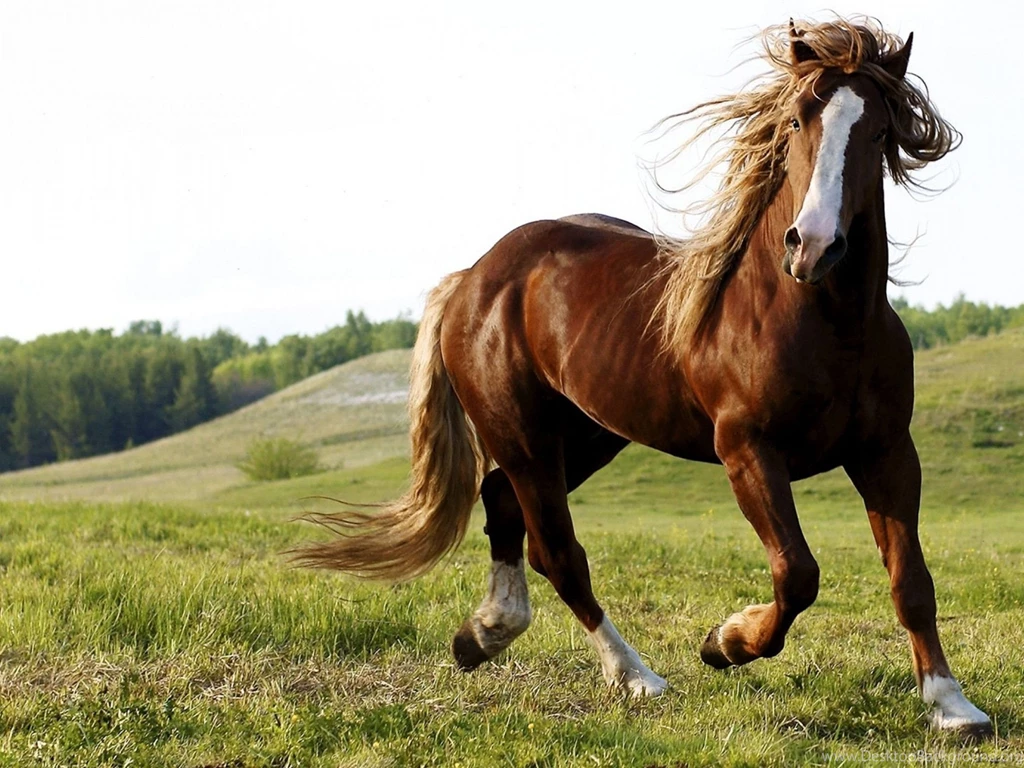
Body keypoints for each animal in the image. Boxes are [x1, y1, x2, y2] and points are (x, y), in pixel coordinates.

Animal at [293, 18, 992, 737]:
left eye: (879, 131)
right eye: (798, 119)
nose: (814, 246)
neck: (820, 319)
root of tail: (474, 277)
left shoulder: (887, 452)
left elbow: (911, 580)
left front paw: (952, 705)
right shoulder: (747, 450)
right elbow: (797, 573)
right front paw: (725, 643)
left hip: (586, 437)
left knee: (503, 505)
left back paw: (483, 634)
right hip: (525, 438)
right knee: (559, 553)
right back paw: (636, 677)